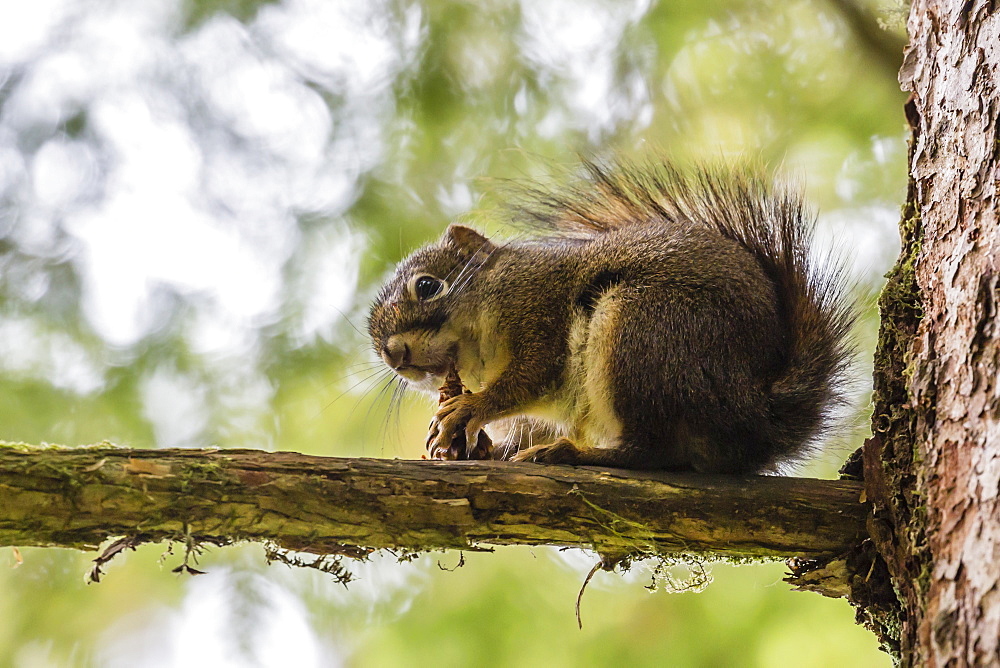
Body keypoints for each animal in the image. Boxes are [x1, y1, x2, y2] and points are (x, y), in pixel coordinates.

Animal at [366, 160, 852, 474]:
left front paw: (469, 409)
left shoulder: (537, 309)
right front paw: (485, 446)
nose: (394, 356)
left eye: (428, 286)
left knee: (651, 452)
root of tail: (756, 416)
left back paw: (573, 454)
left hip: (640, 333)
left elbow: (530, 376)